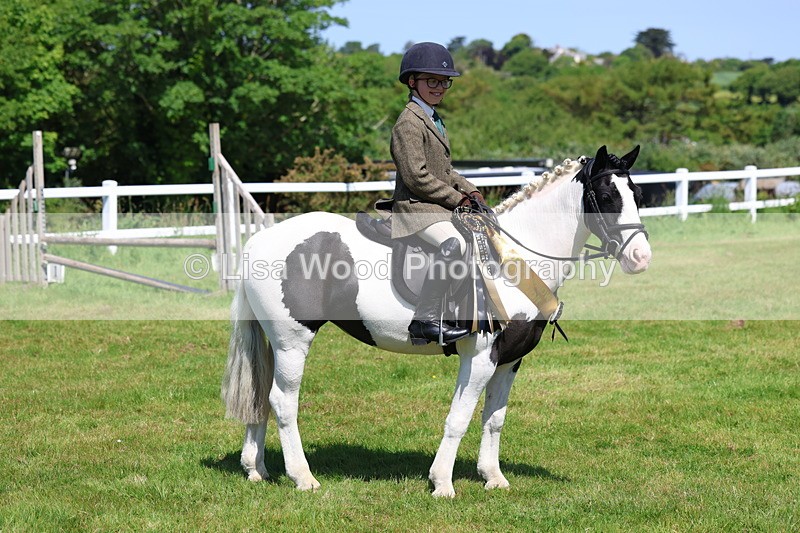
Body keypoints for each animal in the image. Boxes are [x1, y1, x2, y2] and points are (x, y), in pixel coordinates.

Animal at [221, 145, 653, 497]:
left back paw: (256, 469)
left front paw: (493, 477)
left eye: (638, 196)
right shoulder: (479, 357)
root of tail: (259, 241)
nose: (641, 259)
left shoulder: (509, 361)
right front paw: (442, 482)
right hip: (293, 341)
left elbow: (494, 419)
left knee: (260, 395)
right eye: (608, 197)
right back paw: (303, 477)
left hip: (276, 343)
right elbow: (459, 418)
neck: (514, 258)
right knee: (282, 401)